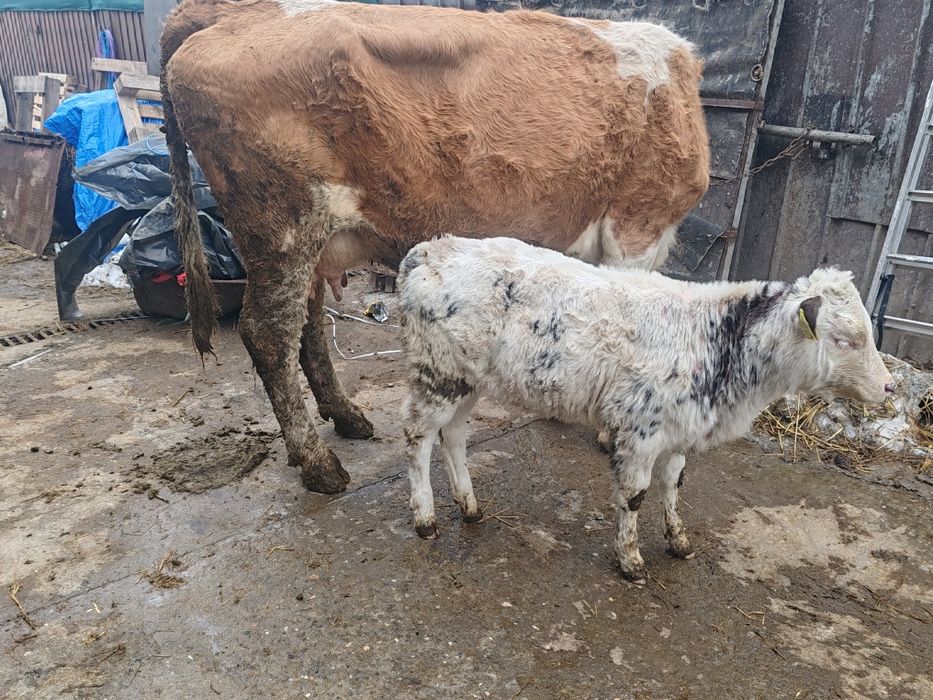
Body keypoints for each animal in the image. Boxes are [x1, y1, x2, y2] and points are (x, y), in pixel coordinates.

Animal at [161, 0, 710, 493]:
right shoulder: (638, 224)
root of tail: (235, 14)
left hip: (306, 241)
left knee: (307, 328)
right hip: (283, 224)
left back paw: (346, 417)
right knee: (270, 333)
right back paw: (317, 463)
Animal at [398, 236, 895, 583]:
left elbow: (673, 486)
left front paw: (679, 540)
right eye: (845, 339)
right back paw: (425, 518)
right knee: (418, 438)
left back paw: (469, 506)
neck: (718, 338)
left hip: (467, 379)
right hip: (438, 372)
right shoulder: (639, 430)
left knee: (454, 435)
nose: (889, 385)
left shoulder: (679, 432)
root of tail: (429, 249)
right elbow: (635, 495)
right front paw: (631, 560)